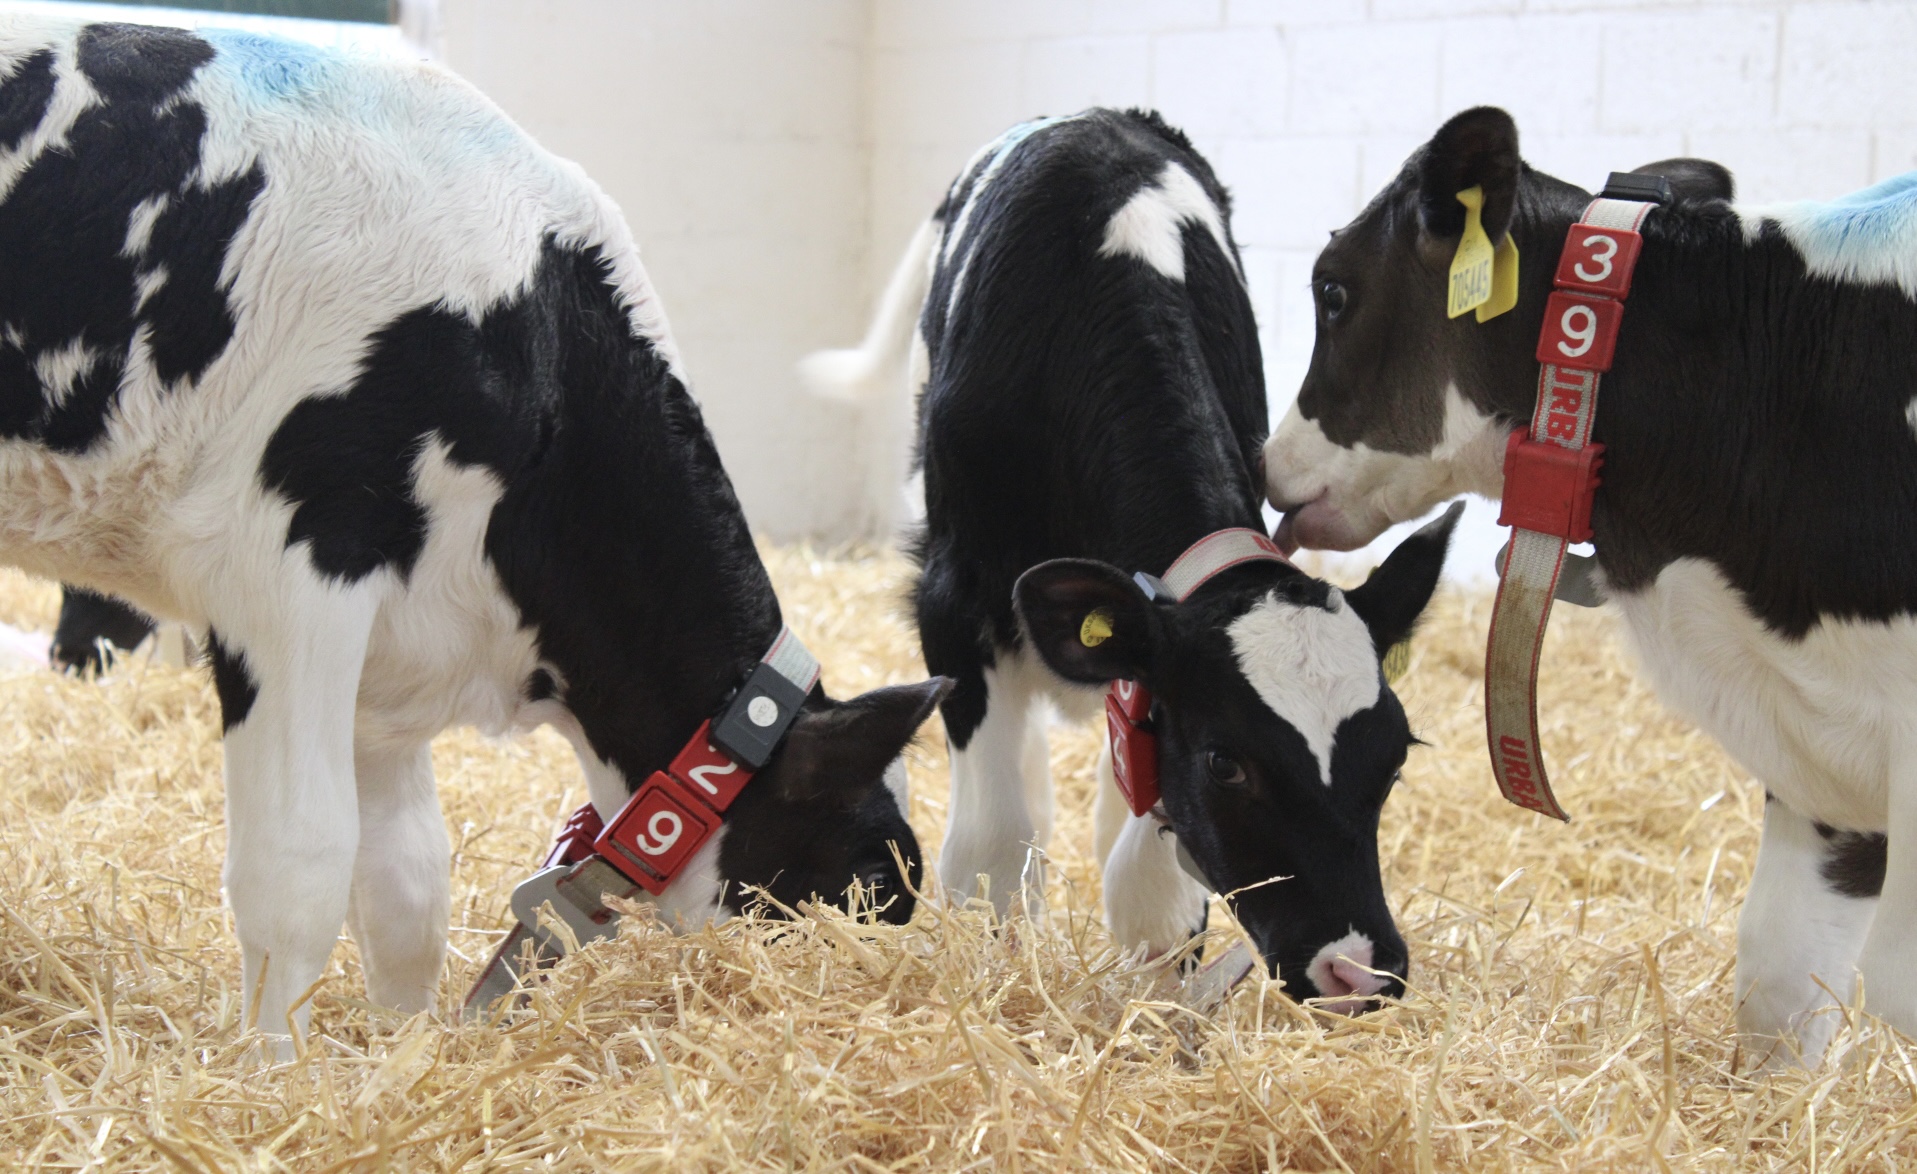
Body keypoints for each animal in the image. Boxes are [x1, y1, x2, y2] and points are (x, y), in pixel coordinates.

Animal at [0, 16, 945, 1049]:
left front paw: (406, 1050)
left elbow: (405, 882)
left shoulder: (388, 653)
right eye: (871, 879)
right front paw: (272, 1066)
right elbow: (299, 863)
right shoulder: (287, 565)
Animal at [806, 109, 1458, 1011]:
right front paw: (997, 971)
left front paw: (1155, 1001)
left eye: (1394, 758)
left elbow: (1153, 885)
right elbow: (991, 849)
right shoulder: (953, 603)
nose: (1358, 969)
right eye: (1226, 762)